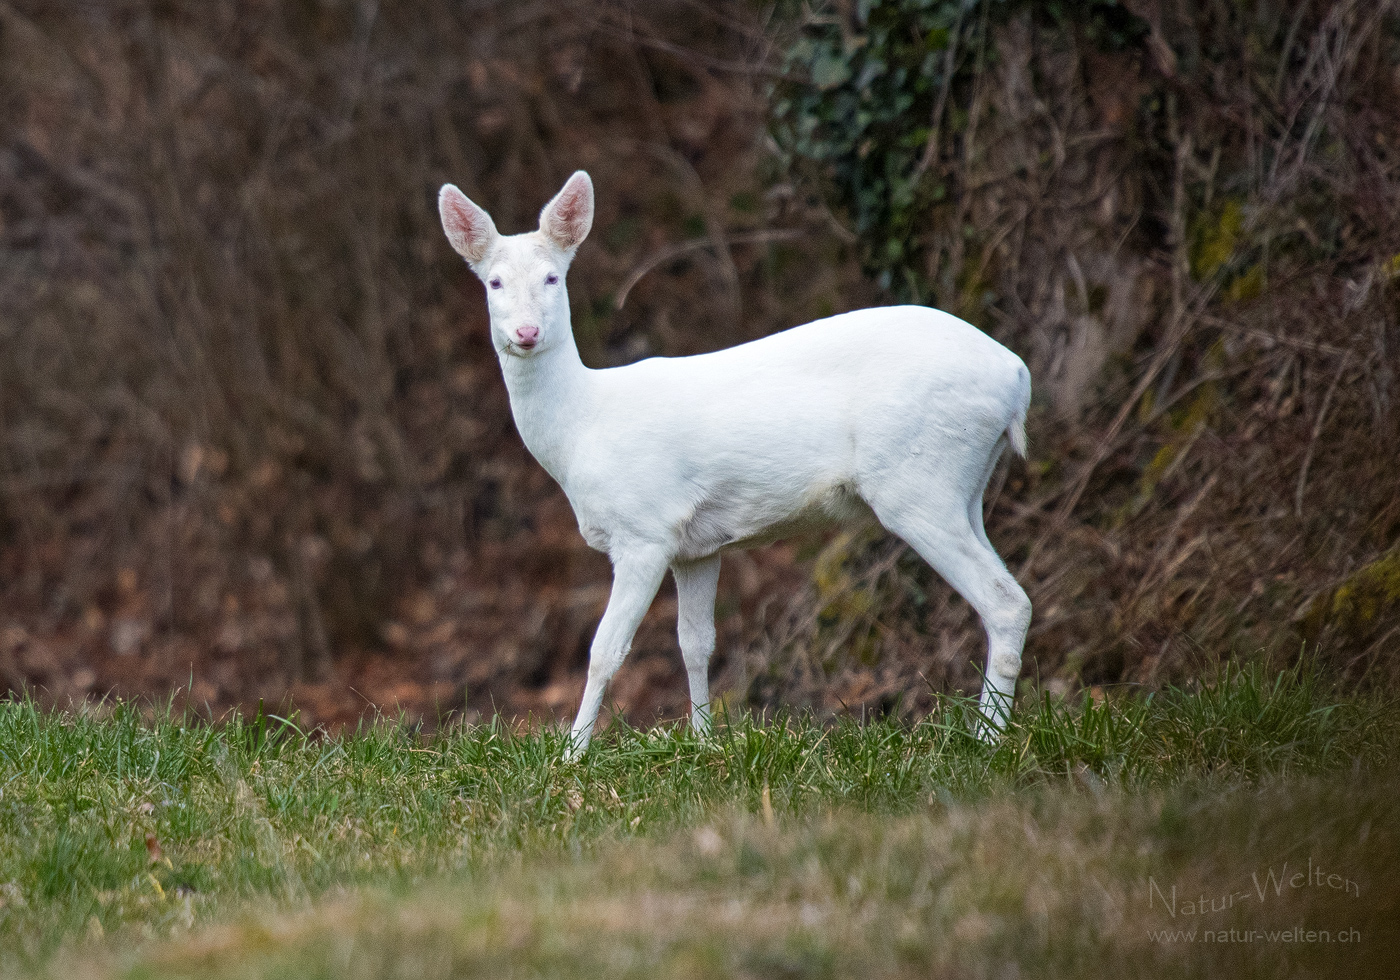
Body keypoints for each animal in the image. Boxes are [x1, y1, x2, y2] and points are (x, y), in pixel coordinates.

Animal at [442, 170, 1036, 756]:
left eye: (552, 278)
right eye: (494, 283)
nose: (526, 333)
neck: (581, 426)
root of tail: (1017, 377)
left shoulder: (644, 529)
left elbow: (606, 649)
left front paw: (573, 756)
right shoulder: (695, 547)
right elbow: (695, 643)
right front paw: (705, 743)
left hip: (917, 478)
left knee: (1005, 602)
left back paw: (987, 740)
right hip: (964, 483)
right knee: (1012, 594)